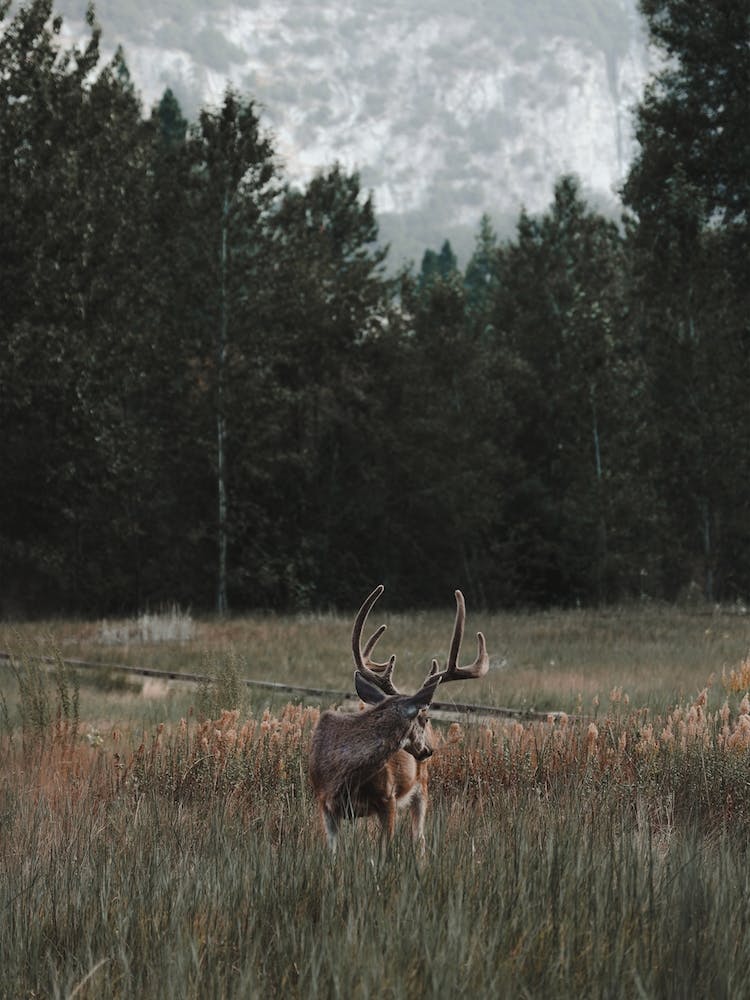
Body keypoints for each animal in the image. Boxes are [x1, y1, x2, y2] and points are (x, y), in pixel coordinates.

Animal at [308, 584, 489, 853]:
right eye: (425, 718)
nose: (429, 749)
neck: (343, 774)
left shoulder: (388, 798)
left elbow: (385, 850)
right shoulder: (325, 804)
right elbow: (334, 853)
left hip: (422, 785)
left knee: (420, 839)